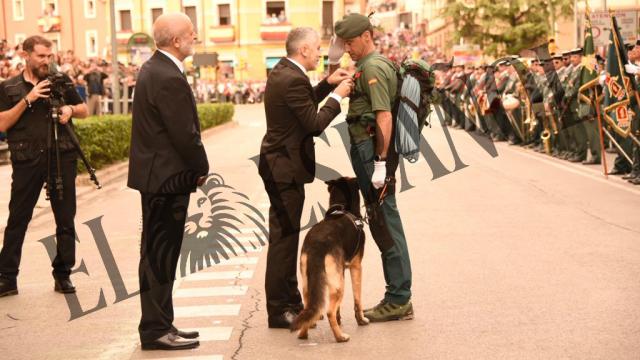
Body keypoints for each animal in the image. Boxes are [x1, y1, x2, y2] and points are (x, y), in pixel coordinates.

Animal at [290, 177, 370, 344]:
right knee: (329, 312)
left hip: (310, 284)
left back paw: (303, 333)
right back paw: (340, 337)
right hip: (339, 285)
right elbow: (357, 299)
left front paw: (340, 320)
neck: (342, 208)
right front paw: (361, 320)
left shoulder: (341, 272)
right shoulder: (356, 267)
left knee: (310, 309)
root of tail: (317, 245)